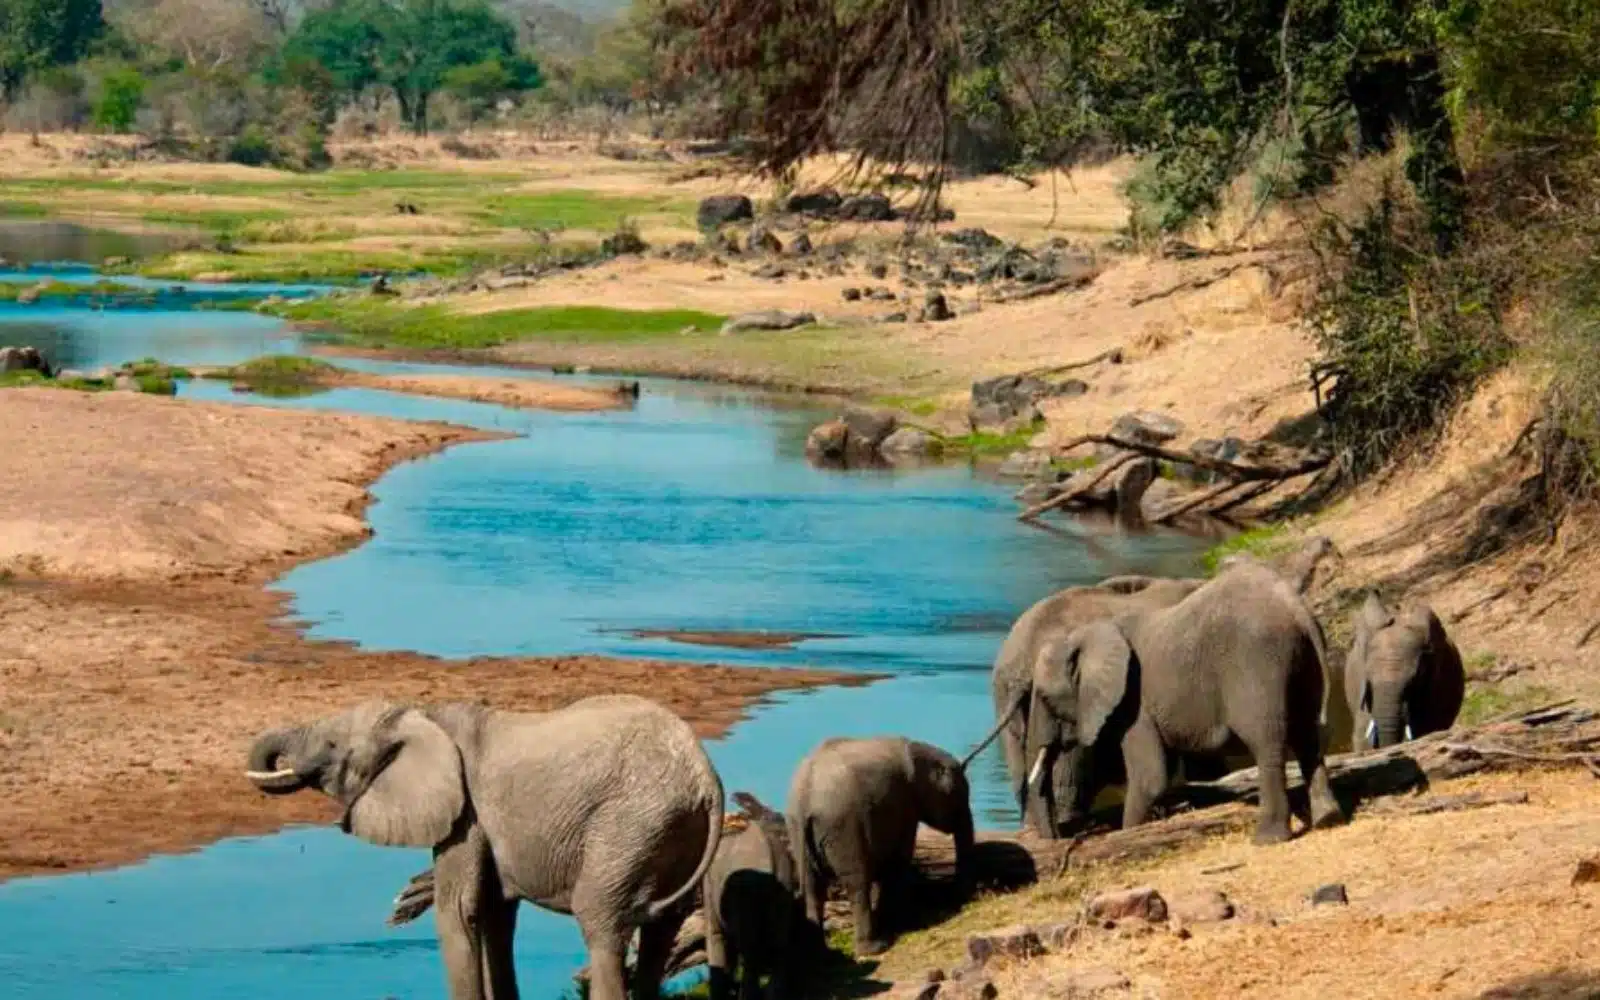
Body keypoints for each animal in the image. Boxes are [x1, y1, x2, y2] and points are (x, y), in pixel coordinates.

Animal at [244, 694, 724, 1000]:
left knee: (601, 924)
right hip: (670, 832)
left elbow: (459, 910)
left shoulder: (466, 812)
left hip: (629, 825)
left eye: (331, 746)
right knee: (661, 930)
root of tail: (705, 778)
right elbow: (494, 913)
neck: (423, 716)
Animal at [786, 736, 975, 957]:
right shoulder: (905, 805)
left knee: (813, 888)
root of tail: (804, 801)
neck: (917, 748)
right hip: (844, 829)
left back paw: (822, 954)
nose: (963, 899)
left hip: (797, 831)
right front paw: (902, 925)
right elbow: (899, 859)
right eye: (959, 797)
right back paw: (873, 948)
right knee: (857, 883)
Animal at [993, 560, 1345, 845]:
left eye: (1045, 699)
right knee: (1309, 736)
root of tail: (1297, 609)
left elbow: (1151, 777)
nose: (1056, 840)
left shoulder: (1134, 703)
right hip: (1299, 663)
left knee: (1269, 742)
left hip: (1256, 664)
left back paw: (1268, 839)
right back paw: (1328, 820)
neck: (1084, 636)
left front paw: (1129, 832)